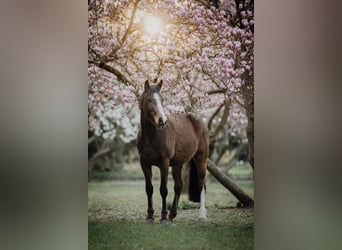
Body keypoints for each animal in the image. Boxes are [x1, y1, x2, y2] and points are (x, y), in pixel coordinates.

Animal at [136, 79, 208, 224]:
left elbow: (163, 190)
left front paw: (163, 217)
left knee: (202, 183)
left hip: (201, 159)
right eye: (149, 100)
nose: (162, 121)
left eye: (162, 99)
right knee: (179, 186)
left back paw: (202, 215)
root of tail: (198, 121)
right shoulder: (144, 163)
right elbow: (149, 189)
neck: (152, 136)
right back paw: (172, 214)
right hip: (177, 164)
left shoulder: (164, 163)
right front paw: (150, 216)